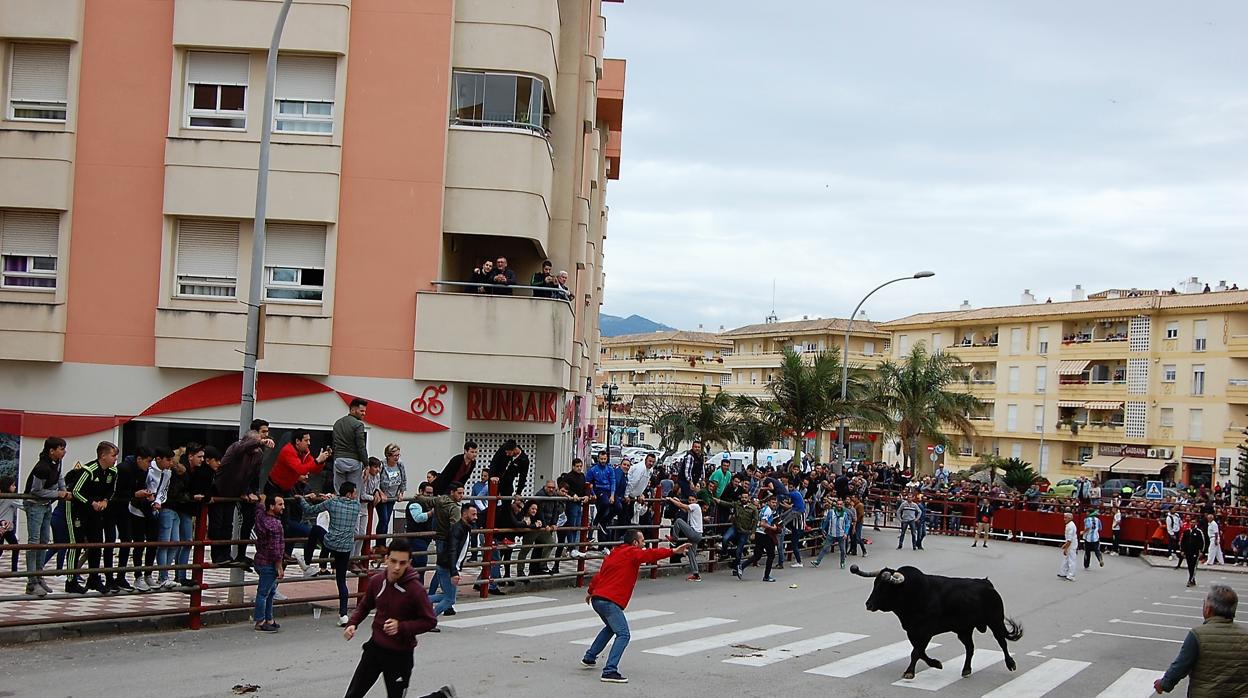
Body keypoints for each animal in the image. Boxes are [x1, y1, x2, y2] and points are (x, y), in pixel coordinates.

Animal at [848, 564, 1023, 679]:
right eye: (875, 584)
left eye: (885, 587)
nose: (869, 604)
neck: (914, 593)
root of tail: (986, 583)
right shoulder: (913, 631)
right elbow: (919, 651)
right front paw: (936, 663)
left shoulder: (925, 631)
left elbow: (916, 652)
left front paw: (909, 672)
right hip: (964, 630)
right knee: (970, 648)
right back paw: (966, 670)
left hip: (995, 621)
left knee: (1002, 642)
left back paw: (1011, 664)